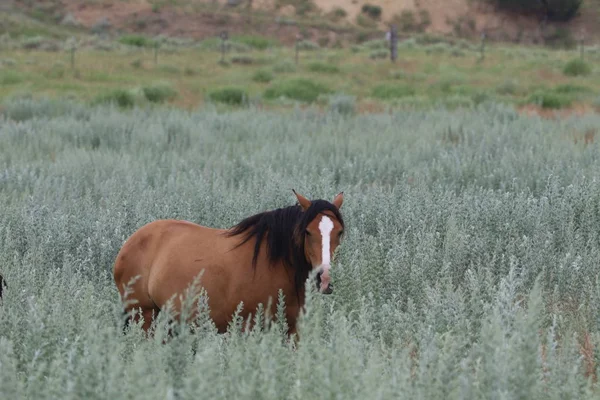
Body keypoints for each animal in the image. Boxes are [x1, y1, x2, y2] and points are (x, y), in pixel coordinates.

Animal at [114, 191, 344, 338]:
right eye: (308, 232)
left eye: (339, 232)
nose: (324, 278)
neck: (275, 264)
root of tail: (130, 243)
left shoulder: (293, 330)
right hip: (143, 314)